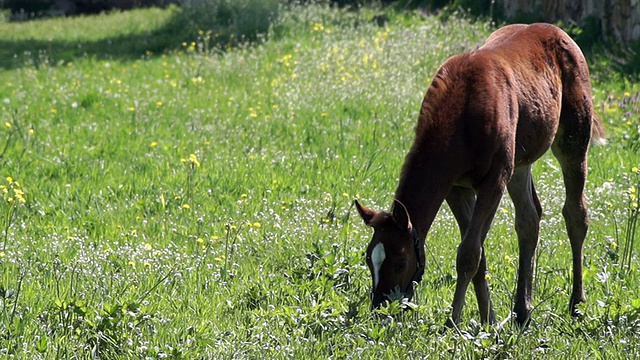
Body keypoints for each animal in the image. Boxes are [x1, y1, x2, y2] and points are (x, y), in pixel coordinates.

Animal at [356, 22, 604, 326]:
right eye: (369, 259)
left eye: (401, 262)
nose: (381, 308)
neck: (463, 112)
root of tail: (559, 33)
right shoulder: (455, 187)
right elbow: (479, 253)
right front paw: (488, 319)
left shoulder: (494, 181)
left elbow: (468, 253)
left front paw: (453, 321)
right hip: (520, 164)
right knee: (529, 219)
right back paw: (522, 311)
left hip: (573, 142)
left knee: (575, 214)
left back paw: (576, 303)